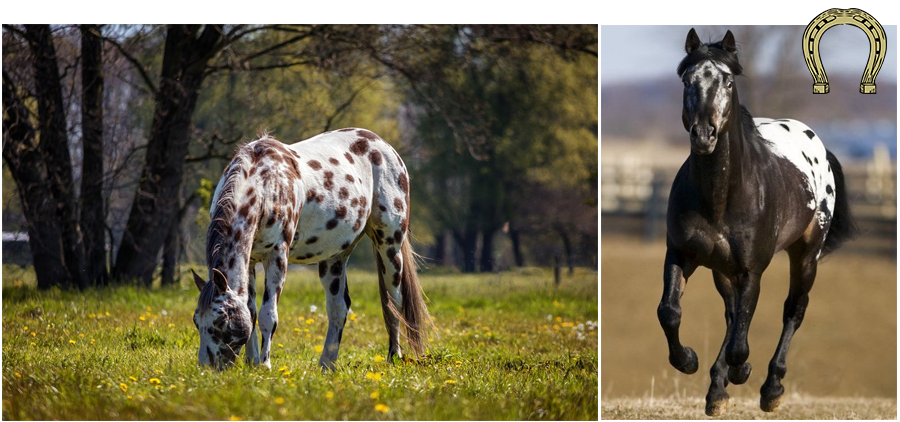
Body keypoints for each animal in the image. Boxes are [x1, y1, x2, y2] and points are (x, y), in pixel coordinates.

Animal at [191, 128, 432, 371]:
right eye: (196, 320)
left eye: (221, 320)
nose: (206, 368)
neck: (265, 184)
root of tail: (385, 146)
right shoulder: (249, 261)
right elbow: (251, 311)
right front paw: (252, 362)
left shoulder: (277, 256)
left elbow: (269, 315)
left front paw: (264, 365)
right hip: (334, 258)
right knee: (338, 308)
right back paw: (327, 365)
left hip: (389, 247)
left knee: (393, 303)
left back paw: (394, 356)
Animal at [658, 28, 857, 416]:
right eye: (687, 80)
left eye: (728, 81)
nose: (703, 135)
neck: (721, 197)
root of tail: (820, 148)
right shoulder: (680, 254)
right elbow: (670, 312)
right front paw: (689, 360)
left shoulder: (752, 269)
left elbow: (741, 341)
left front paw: (740, 372)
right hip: (722, 270)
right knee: (732, 314)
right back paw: (718, 391)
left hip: (806, 254)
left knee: (793, 310)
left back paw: (771, 388)